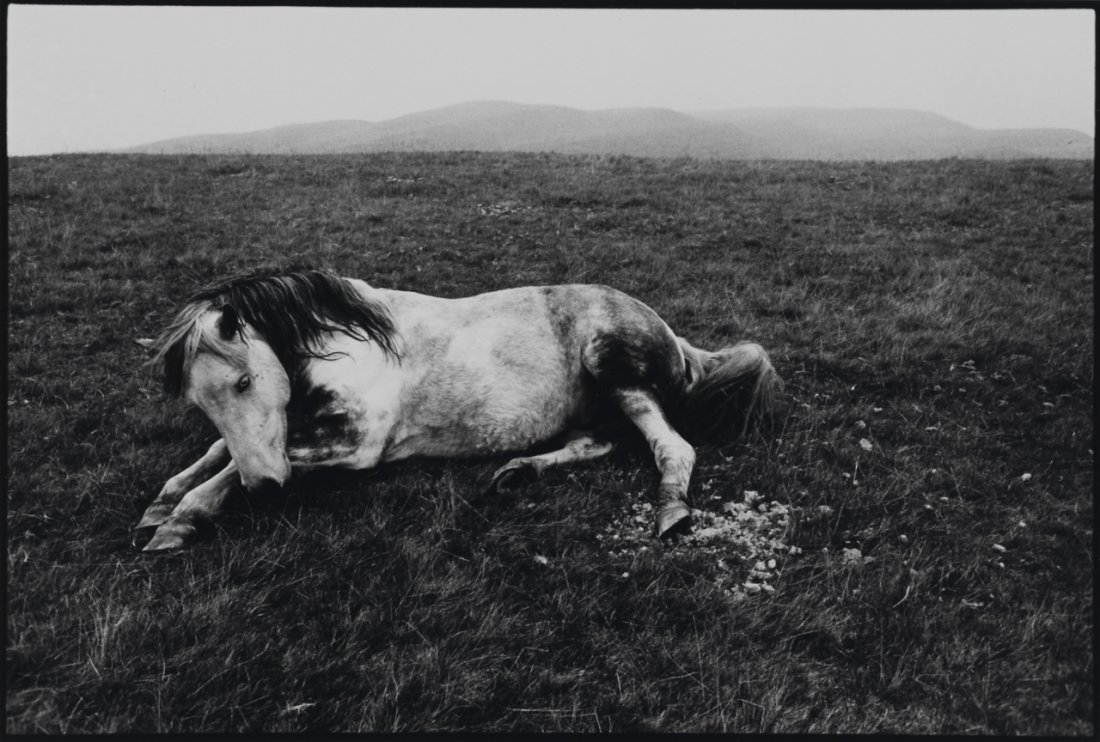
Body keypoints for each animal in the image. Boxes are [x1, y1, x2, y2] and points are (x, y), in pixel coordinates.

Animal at [133, 270, 780, 552]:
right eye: (200, 400)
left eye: (244, 380)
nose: (267, 487)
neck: (355, 344)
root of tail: (672, 336)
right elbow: (220, 450)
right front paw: (166, 499)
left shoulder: (355, 446)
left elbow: (231, 470)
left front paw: (180, 519)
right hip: (593, 410)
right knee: (596, 443)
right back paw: (517, 471)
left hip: (619, 376)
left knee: (672, 447)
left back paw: (672, 511)